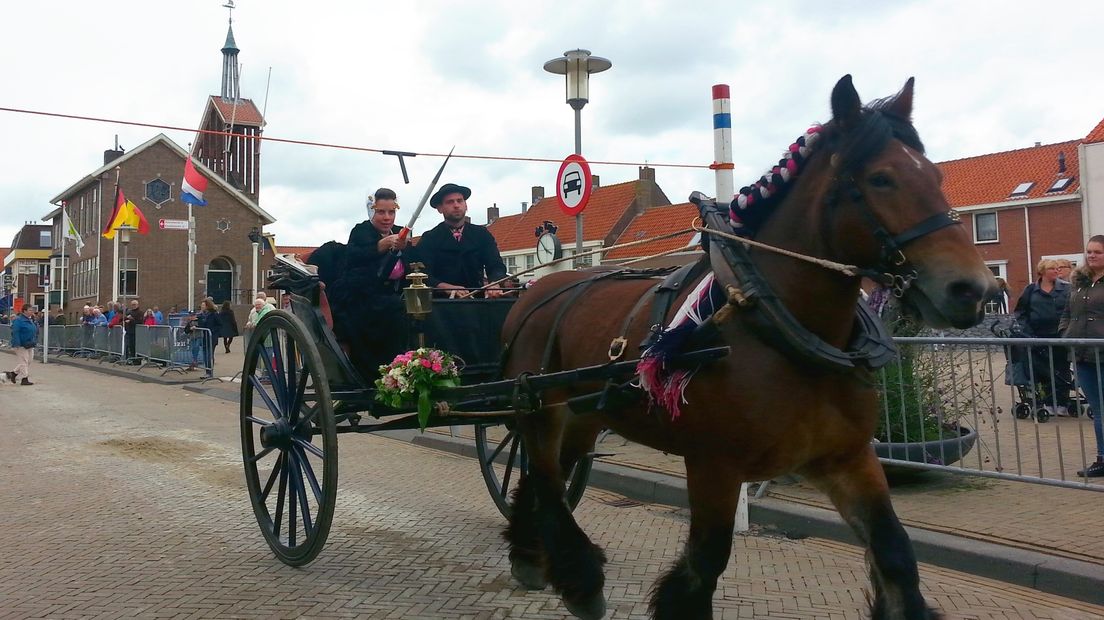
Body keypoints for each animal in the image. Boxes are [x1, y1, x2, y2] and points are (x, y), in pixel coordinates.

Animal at [496, 77, 998, 617]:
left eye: (936, 175)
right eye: (881, 178)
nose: (973, 289)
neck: (782, 327)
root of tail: (535, 292)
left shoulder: (847, 458)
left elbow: (896, 555)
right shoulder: (715, 464)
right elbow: (704, 564)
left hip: (585, 415)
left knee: (544, 477)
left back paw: (530, 556)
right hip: (541, 410)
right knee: (546, 479)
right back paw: (580, 579)